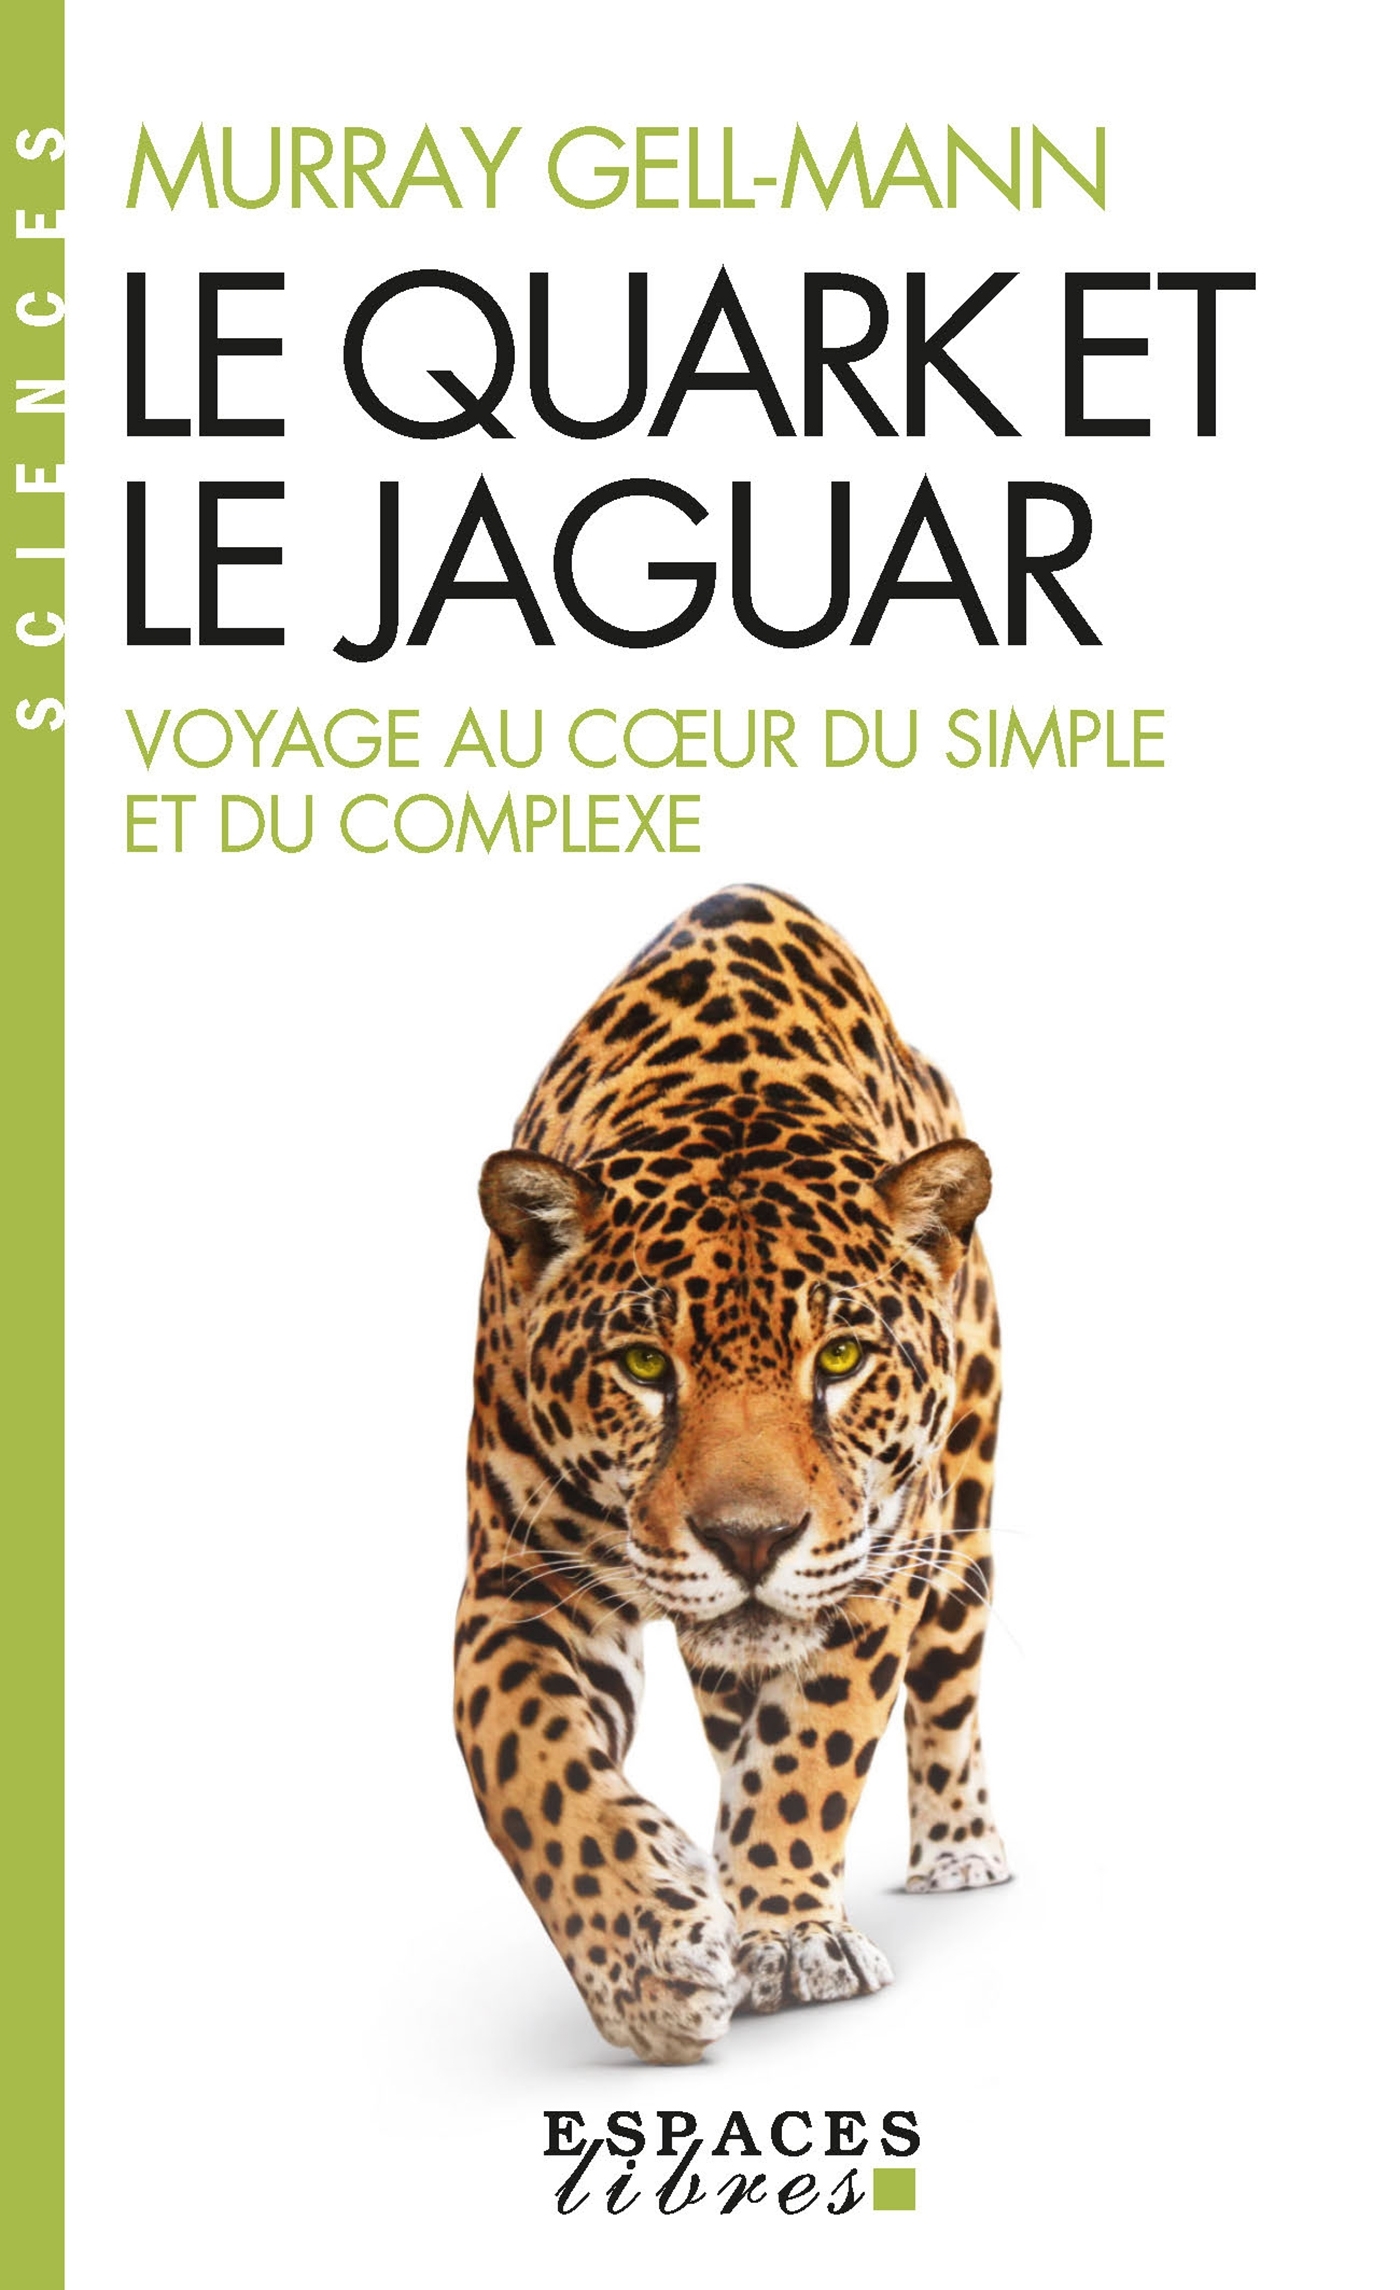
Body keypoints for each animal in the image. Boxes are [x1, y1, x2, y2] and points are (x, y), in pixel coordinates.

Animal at [453, 885, 1008, 2063]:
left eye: (839, 1359)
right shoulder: (517, 1581)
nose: (749, 1540)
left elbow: (814, 1747)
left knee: (946, 1688)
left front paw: (790, 1936)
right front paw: (647, 1962)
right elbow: (528, 1769)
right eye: (642, 1365)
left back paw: (957, 1849)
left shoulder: (876, 1559)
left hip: (965, 1518)